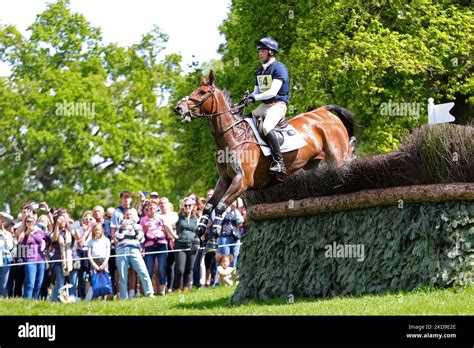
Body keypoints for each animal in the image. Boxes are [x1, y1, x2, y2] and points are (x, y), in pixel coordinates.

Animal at [174, 70, 356, 250]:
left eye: (202, 92)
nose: (178, 108)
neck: (234, 137)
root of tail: (324, 111)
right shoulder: (225, 180)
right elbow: (208, 206)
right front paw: (199, 236)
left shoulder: (241, 182)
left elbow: (220, 207)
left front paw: (213, 240)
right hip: (316, 165)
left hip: (338, 158)